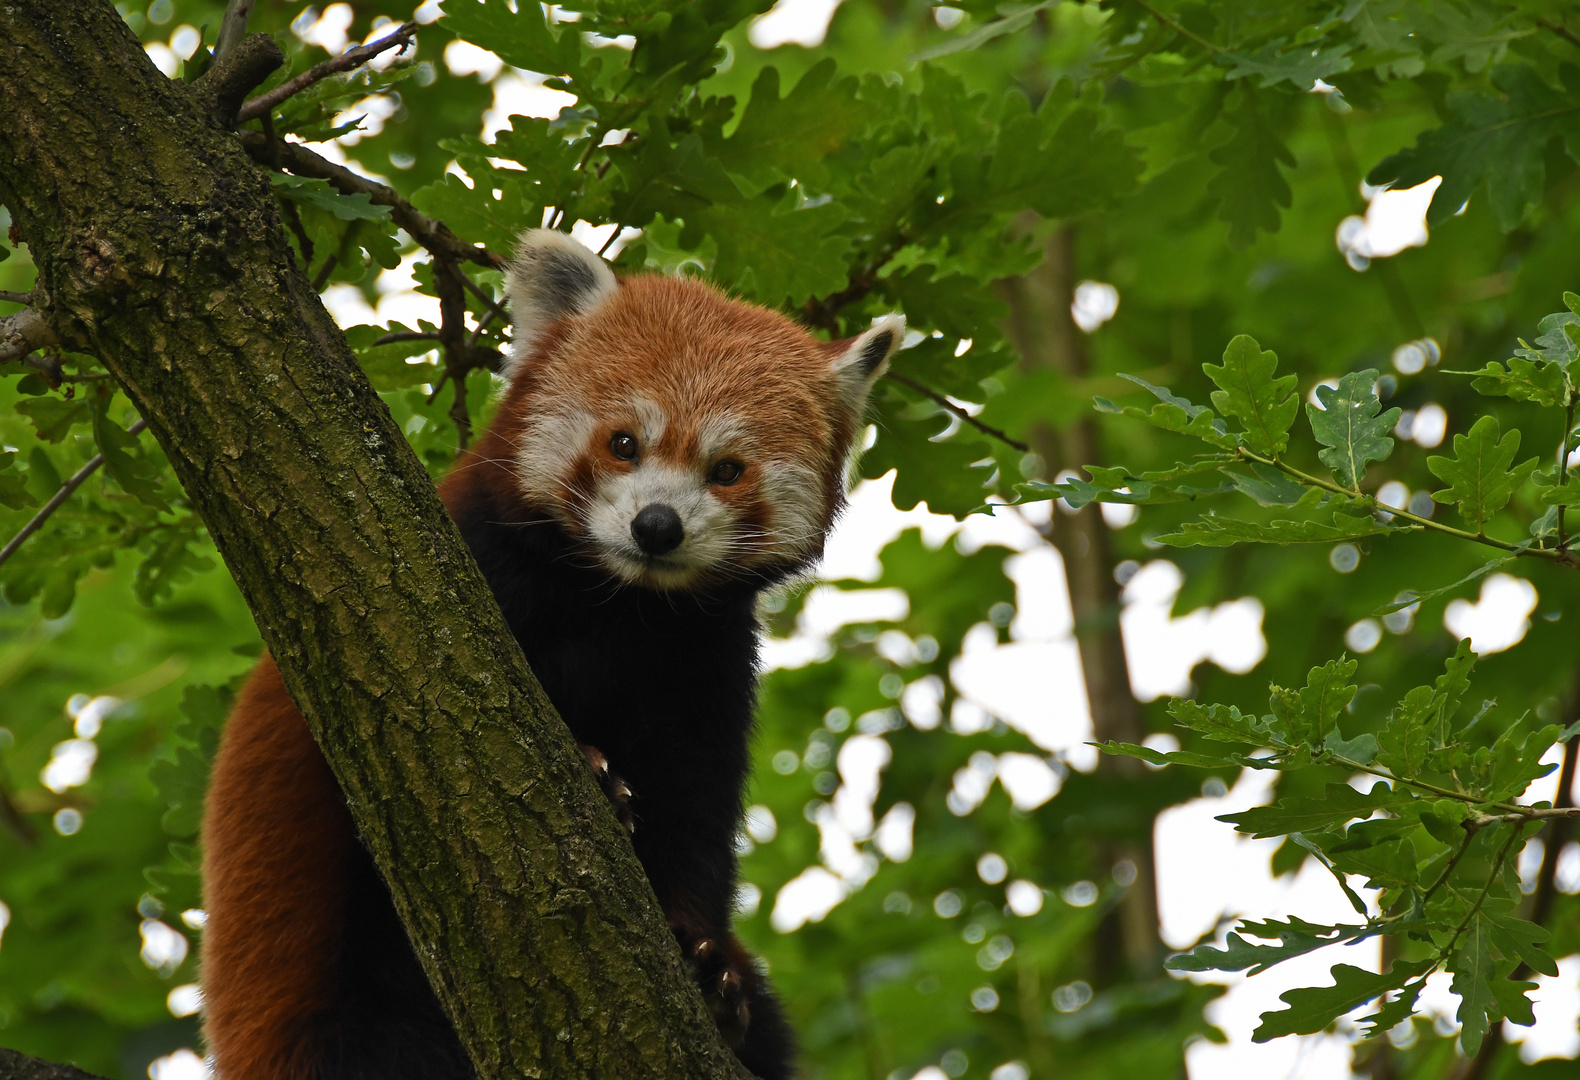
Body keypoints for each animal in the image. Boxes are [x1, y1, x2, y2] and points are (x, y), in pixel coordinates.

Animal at [200, 227, 903, 1080]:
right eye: (625, 443)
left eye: (728, 469)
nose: (657, 526)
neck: (617, 605)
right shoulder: (443, 579)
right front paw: (595, 774)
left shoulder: (703, 662)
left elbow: (692, 817)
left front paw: (706, 970)